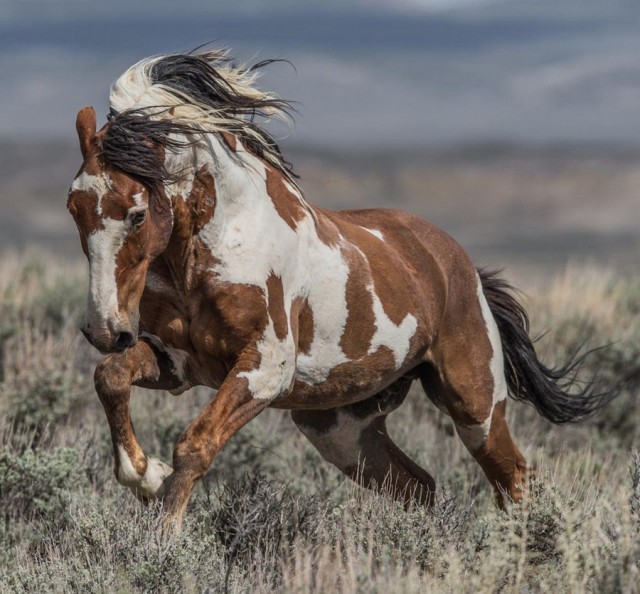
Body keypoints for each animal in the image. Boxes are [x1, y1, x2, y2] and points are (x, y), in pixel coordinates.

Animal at [67, 48, 612, 524]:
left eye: (137, 214)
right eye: (73, 208)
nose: (105, 330)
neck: (211, 248)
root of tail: (460, 266)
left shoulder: (264, 368)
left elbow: (195, 444)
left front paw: (163, 535)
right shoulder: (180, 362)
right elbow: (110, 377)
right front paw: (144, 475)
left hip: (475, 405)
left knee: (514, 479)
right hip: (341, 428)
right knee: (418, 486)